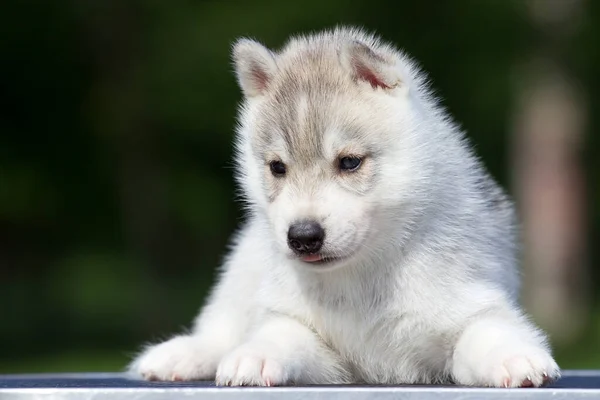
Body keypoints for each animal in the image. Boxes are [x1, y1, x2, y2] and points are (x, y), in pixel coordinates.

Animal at [129, 25, 560, 388]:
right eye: (277, 167)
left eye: (349, 162)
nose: (302, 236)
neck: (365, 276)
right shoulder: (313, 339)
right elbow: (279, 333)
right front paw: (254, 355)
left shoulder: (469, 303)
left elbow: (487, 330)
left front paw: (513, 357)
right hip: (245, 262)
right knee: (223, 323)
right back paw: (184, 353)